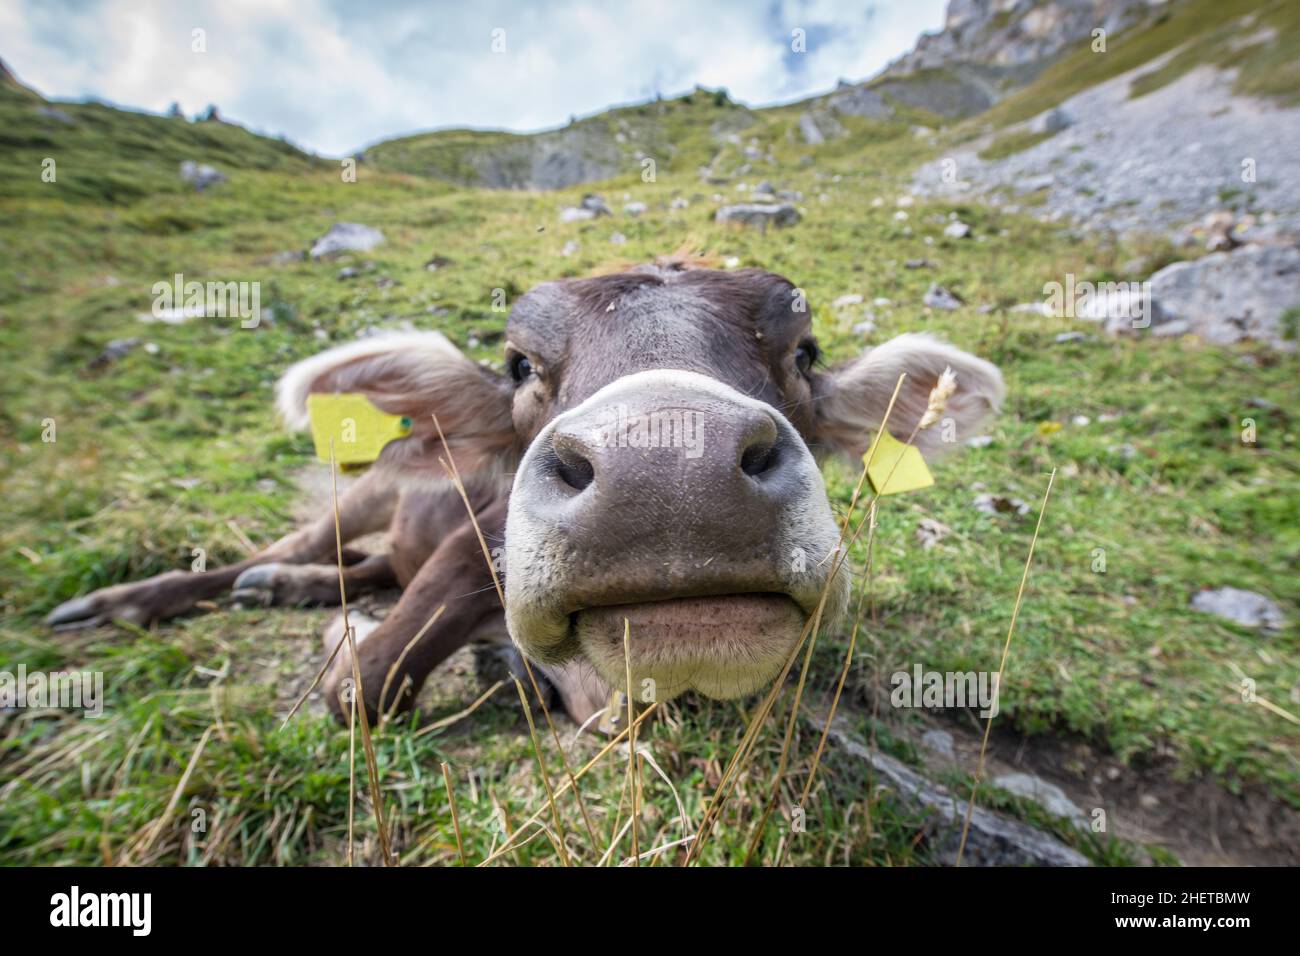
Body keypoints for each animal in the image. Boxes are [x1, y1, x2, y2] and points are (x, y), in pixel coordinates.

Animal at [43, 260, 1003, 723]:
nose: (671, 477)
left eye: (803, 352)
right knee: (299, 548)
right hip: (367, 494)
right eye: (519, 365)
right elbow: (360, 686)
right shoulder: (472, 549)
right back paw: (148, 596)